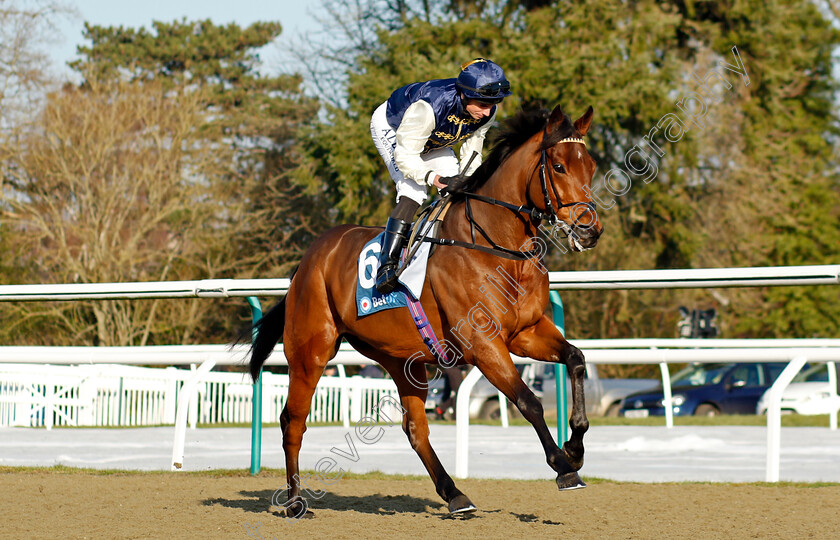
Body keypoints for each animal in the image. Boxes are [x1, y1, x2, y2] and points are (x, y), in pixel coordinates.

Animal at [249, 103, 604, 516]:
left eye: (591, 166)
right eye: (559, 166)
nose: (590, 230)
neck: (496, 245)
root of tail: (309, 258)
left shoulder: (525, 332)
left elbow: (575, 359)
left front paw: (575, 447)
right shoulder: (483, 344)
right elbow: (528, 401)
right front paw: (564, 467)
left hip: (402, 359)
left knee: (415, 428)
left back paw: (455, 495)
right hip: (311, 351)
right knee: (293, 419)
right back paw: (294, 502)